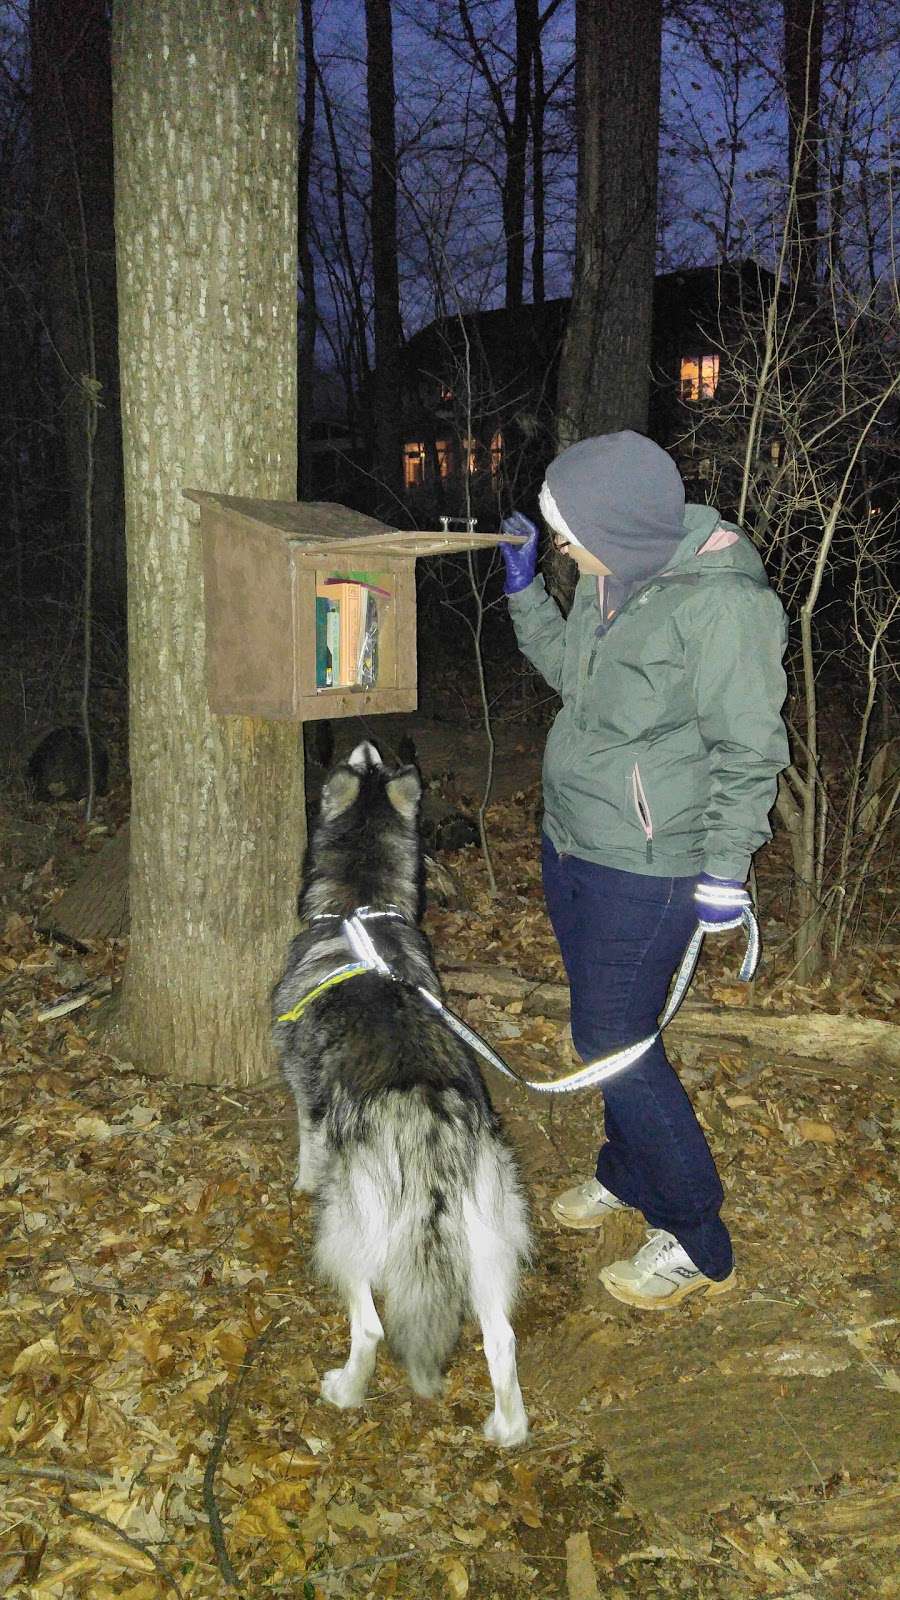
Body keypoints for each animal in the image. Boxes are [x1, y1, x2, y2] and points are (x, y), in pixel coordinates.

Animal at [269, 742, 528, 1446]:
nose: (366, 744)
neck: (359, 912)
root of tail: (430, 1123)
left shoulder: (304, 1089)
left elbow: (305, 1139)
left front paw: (299, 1178)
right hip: (489, 1238)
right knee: (502, 1340)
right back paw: (506, 1428)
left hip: (347, 1229)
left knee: (372, 1327)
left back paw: (345, 1390)